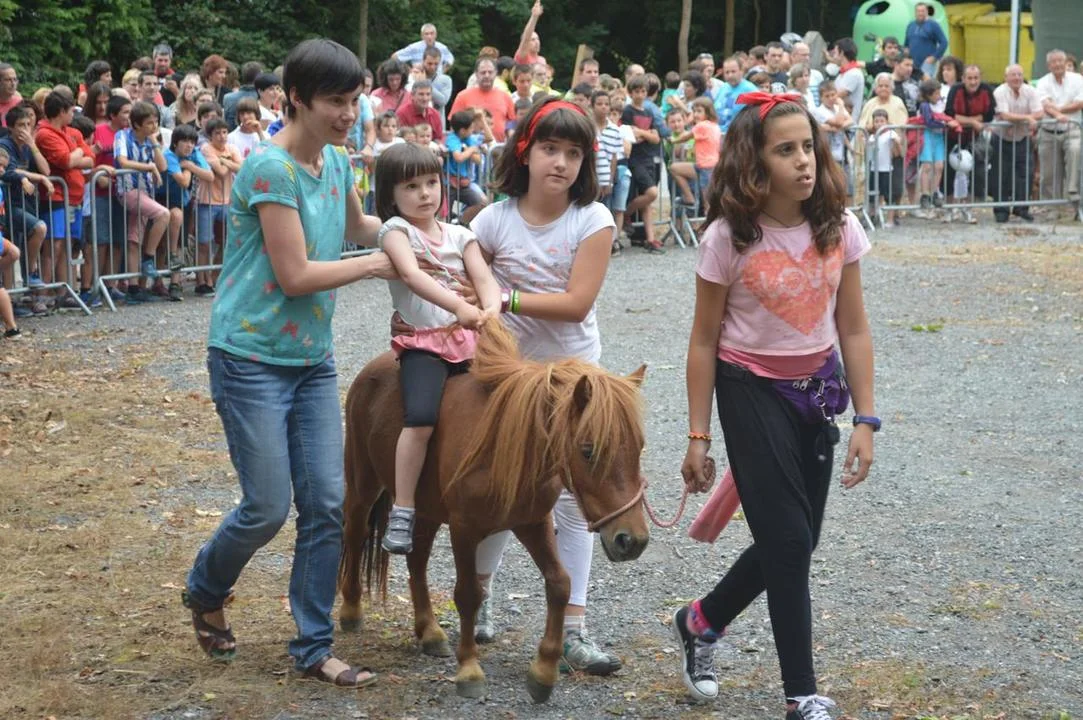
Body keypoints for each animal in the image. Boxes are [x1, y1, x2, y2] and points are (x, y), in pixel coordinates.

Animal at [338, 319, 650, 703]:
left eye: (639, 447)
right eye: (588, 450)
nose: (632, 540)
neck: (506, 442)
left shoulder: (532, 522)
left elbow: (560, 583)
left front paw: (544, 671)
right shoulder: (464, 529)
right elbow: (468, 594)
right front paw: (470, 670)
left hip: (425, 509)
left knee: (417, 560)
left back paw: (430, 632)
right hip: (363, 484)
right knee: (355, 533)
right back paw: (351, 610)